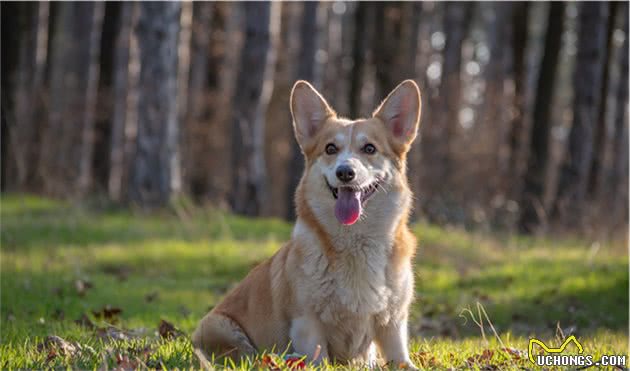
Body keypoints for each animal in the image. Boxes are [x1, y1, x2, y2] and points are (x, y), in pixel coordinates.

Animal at [191, 80, 420, 368]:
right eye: (330, 149)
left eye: (369, 148)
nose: (345, 172)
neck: (356, 242)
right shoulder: (307, 322)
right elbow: (318, 359)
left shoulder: (392, 323)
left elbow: (400, 359)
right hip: (220, 326)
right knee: (252, 355)